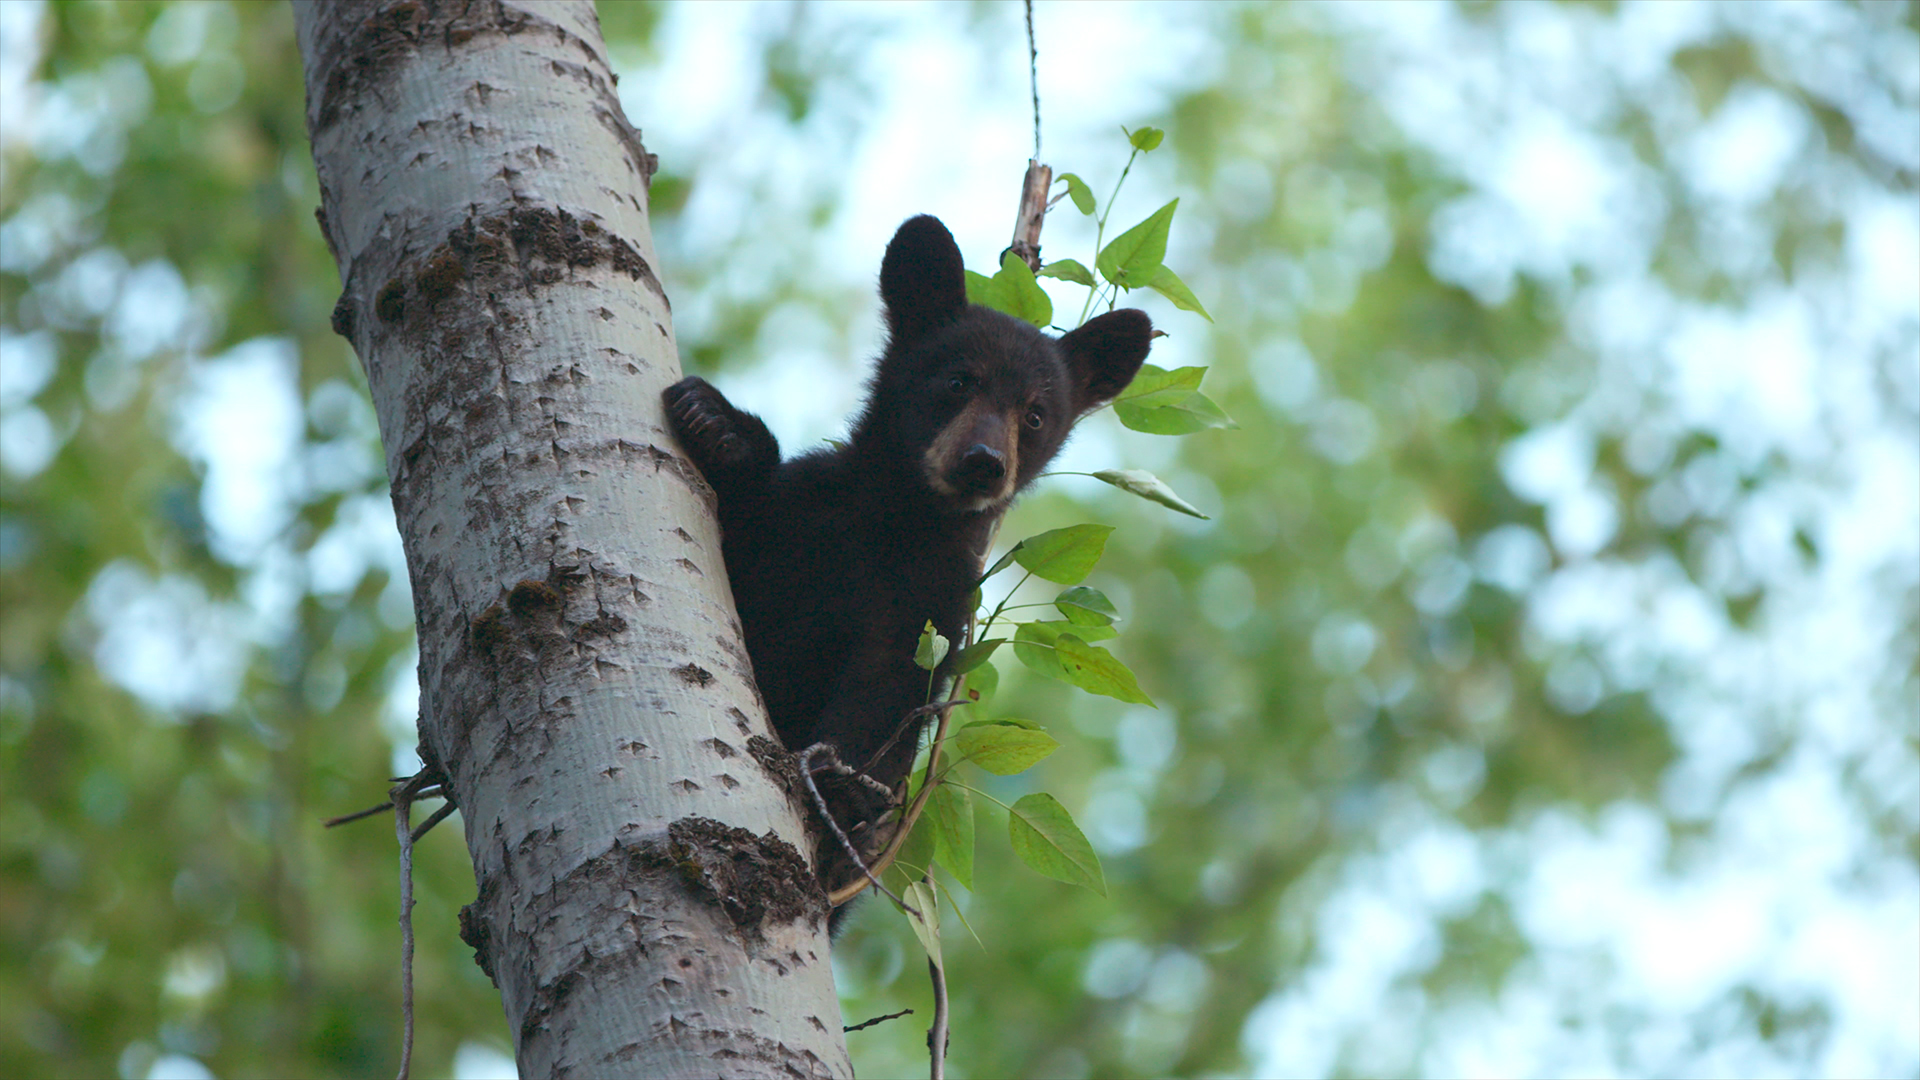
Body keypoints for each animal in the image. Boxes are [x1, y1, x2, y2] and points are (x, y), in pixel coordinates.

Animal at [663, 215, 1153, 929]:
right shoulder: (803, 518)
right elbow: (749, 541)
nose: (983, 463)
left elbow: (890, 678)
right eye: (958, 381)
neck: (897, 521)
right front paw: (718, 424)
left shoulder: (937, 599)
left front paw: (838, 781)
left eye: (1035, 415)